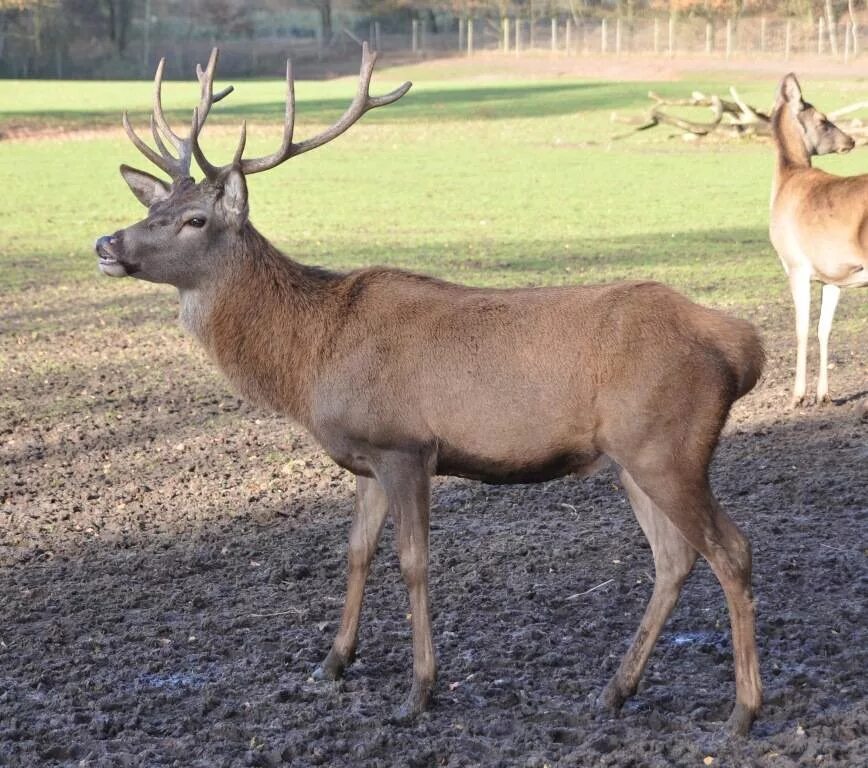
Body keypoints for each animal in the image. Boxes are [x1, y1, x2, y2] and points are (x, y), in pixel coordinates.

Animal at [95, 46, 765, 735]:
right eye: (151, 211)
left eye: (195, 219)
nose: (107, 243)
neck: (311, 360)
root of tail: (744, 346)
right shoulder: (365, 458)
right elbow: (356, 551)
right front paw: (332, 663)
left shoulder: (405, 446)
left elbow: (413, 562)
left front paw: (419, 690)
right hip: (632, 459)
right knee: (674, 559)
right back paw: (614, 691)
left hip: (669, 449)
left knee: (732, 551)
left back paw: (742, 710)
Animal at [769, 73, 867, 409]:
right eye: (824, 120)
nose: (850, 141)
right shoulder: (833, 275)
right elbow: (824, 328)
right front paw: (823, 395)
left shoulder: (796, 265)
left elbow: (801, 328)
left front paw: (797, 396)